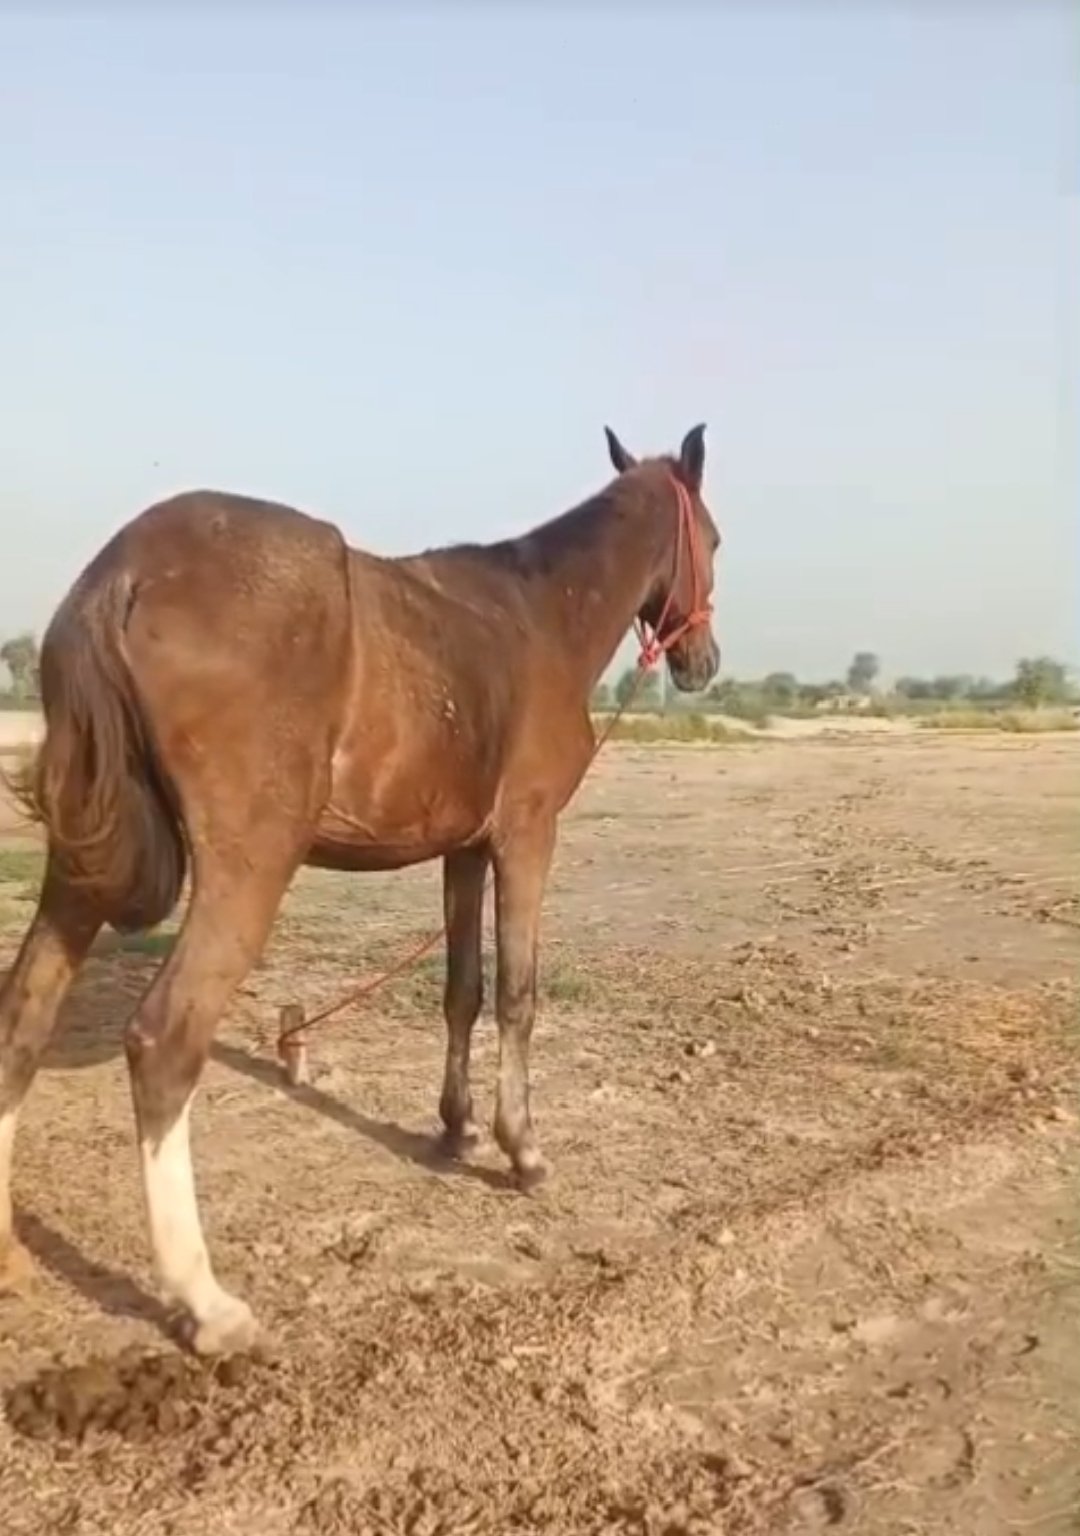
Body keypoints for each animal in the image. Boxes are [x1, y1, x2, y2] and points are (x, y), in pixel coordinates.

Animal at [0, 423, 720, 1354]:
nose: (703, 662)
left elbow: (463, 990)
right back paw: (205, 1302)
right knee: (164, 1043)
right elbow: (518, 993)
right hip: (246, 869)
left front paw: (453, 1130)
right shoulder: (526, 837)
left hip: (79, 864)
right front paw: (520, 1150)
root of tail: (122, 573)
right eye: (712, 541)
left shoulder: (464, 850)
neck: (539, 615)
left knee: (22, 1019)